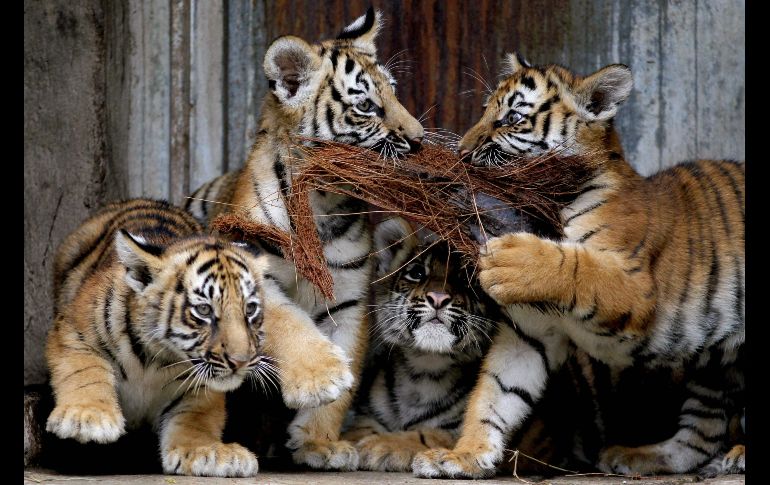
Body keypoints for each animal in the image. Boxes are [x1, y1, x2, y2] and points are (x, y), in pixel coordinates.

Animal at [45, 198, 353, 477]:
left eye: (250, 309)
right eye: (204, 310)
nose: (240, 362)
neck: (154, 358)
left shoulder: (200, 387)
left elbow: (195, 417)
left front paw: (210, 452)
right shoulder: (72, 332)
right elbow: (84, 371)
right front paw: (87, 418)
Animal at [184, 8, 424, 471]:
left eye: (395, 93)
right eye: (366, 106)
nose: (420, 139)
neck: (321, 203)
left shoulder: (349, 296)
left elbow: (347, 364)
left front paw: (319, 442)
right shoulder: (250, 270)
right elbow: (288, 321)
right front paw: (319, 377)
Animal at [412, 54, 744, 478]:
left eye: (511, 118)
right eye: (485, 111)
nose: (462, 153)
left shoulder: (635, 286)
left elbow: (578, 266)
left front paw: (509, 260)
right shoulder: (530, 333)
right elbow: (494, 394)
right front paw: (463, 455)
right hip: (715, 369)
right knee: (699, 437)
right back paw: (636, 456)